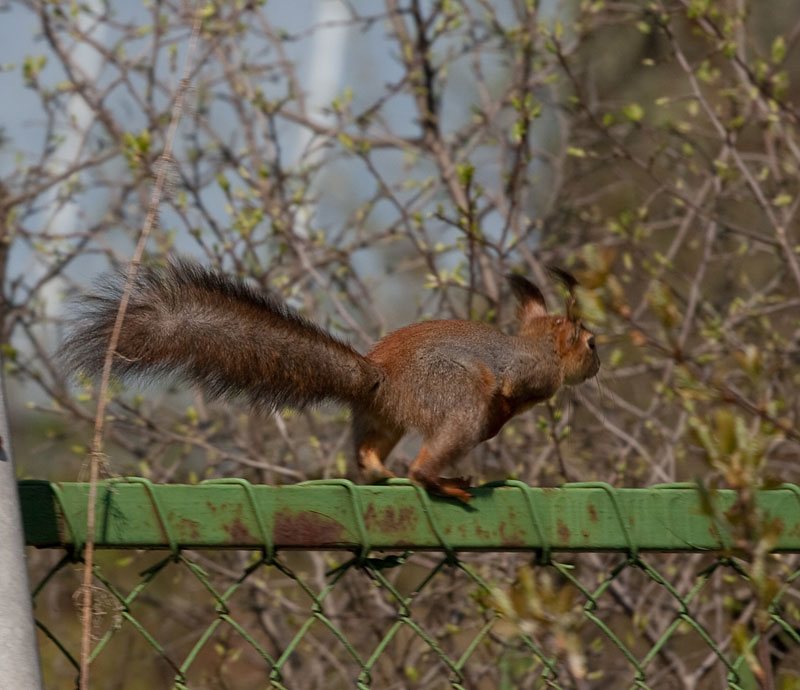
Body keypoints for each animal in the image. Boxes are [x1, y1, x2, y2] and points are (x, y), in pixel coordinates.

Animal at [64, 258, 600, 500]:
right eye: (591, 343)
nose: (599, 365)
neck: (539, 345)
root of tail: (381, 377)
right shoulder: (527, 375)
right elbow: (506, 396)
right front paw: (499, 422)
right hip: (452, 398)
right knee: (430, 457)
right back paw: (439, 480)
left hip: (383, 420)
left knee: (367, 454)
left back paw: (384, 472)